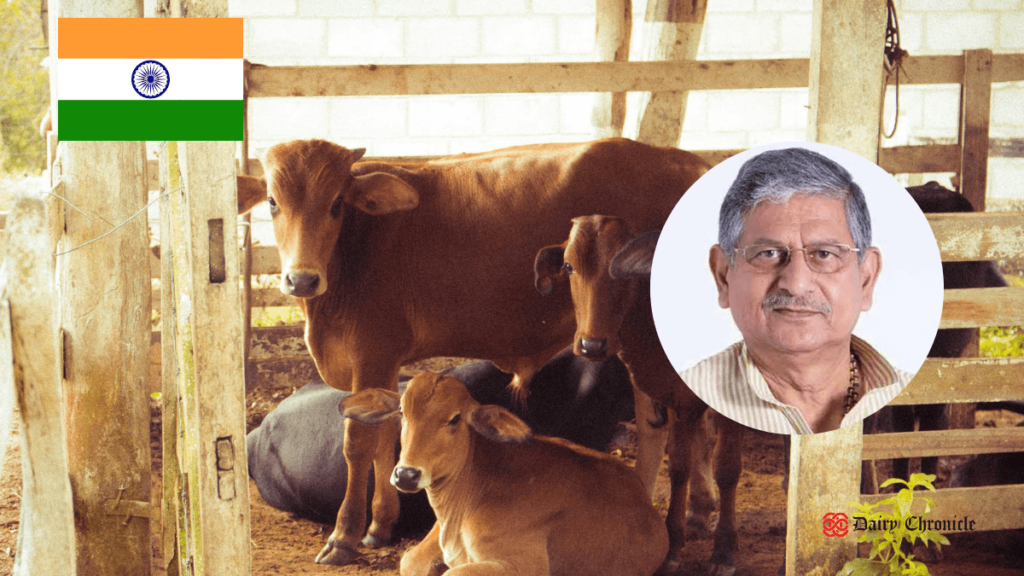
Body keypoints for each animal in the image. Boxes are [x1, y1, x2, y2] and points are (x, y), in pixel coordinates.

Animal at [536, 214, 745, 573]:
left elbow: (725, 468)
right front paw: (673, 543)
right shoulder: (673, 397)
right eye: (568, 266)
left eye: (619, 269)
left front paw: (722, 552)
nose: (592, 345)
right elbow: (678, 466)